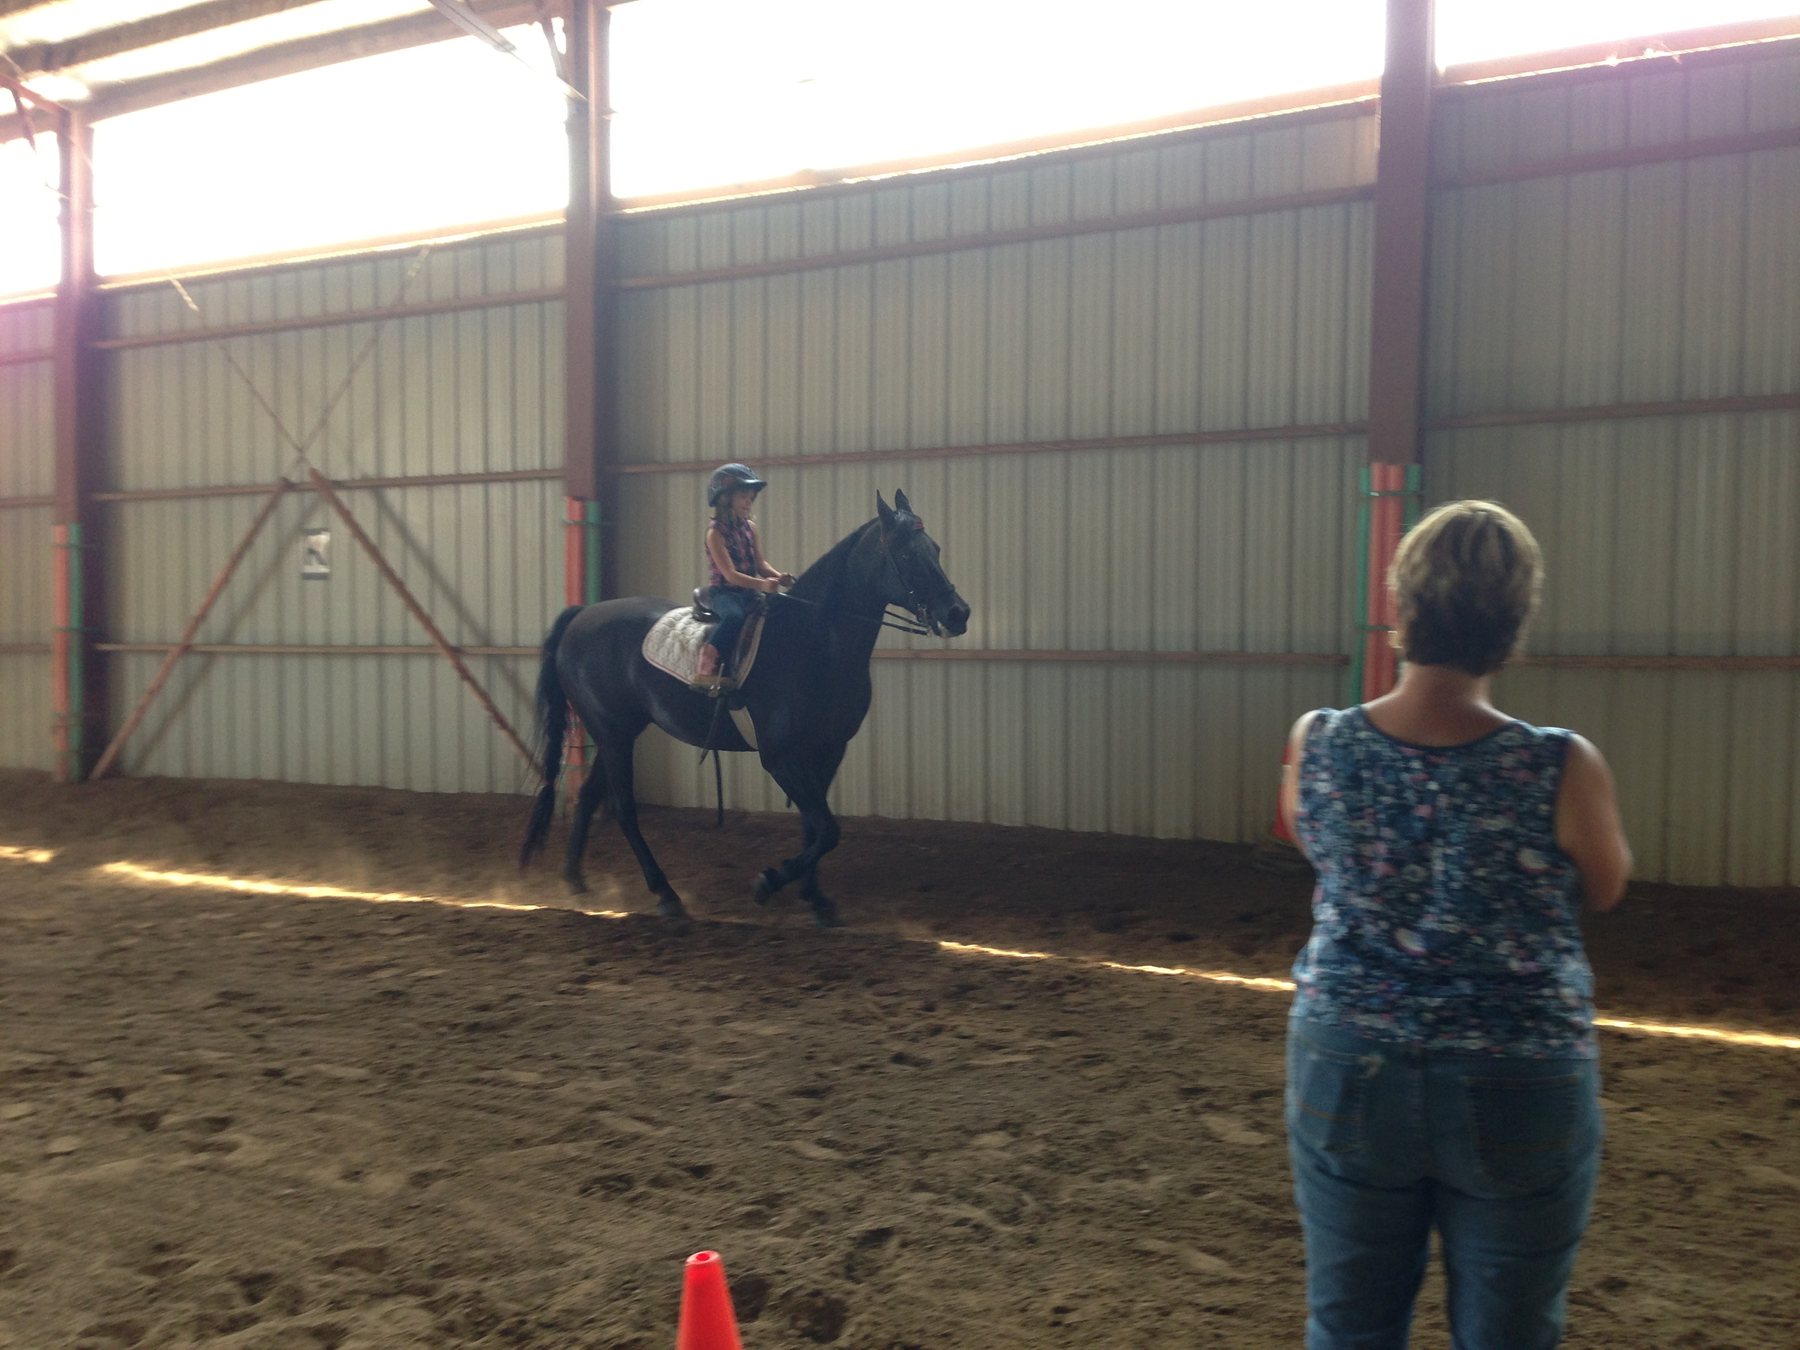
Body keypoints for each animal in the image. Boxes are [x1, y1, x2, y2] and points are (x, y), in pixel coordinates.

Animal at [518, 490, 971, 927]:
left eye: (935, 548)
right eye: (907, 554)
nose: (958, 613)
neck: (813, 642)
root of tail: (582, 615)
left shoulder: (827, 750)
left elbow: (815, 828)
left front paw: (816, 901)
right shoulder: (780, 757)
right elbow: (827, 829)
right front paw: (769, 882)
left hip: (619, 731)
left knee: (590, 794)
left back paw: (576, 881)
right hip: (613, 733)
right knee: (623, 808)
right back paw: (665, 895)